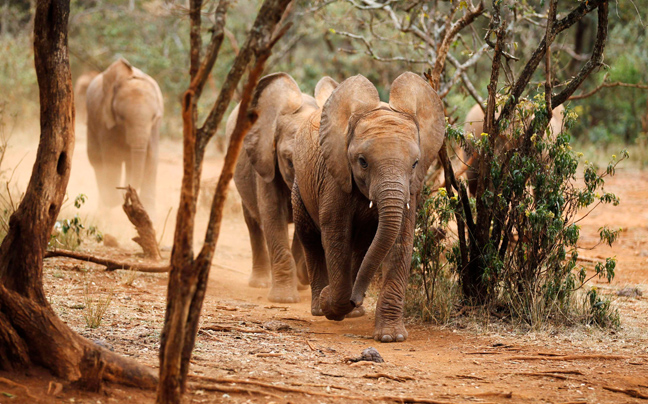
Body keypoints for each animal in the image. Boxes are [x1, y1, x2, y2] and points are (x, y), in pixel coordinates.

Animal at [86, 58, 163, 215]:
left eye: (154, 118)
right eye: (121, 118)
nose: (126, 190)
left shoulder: (153, 129)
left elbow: (151, 158)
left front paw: (151, 215)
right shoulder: (105, 122)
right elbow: (113, 159)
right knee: (96, 160)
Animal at [229, 72, 340, 304]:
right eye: (289, 161)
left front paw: (301, 281)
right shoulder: (265, 159)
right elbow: (272, 213)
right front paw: (283, 299)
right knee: (253, 222)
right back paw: (260, 283)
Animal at [292, 72, 446, 340]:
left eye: (415, 163)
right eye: (362, 162)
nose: (356, 298)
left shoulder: (410, 188)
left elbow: (400, 240)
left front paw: (391, 337)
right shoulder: (335, 176)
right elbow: (336, 236)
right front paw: (330, 302)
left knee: (361, 247)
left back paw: (354, 312)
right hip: (299, 185)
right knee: (310, 238)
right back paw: (321, 308)